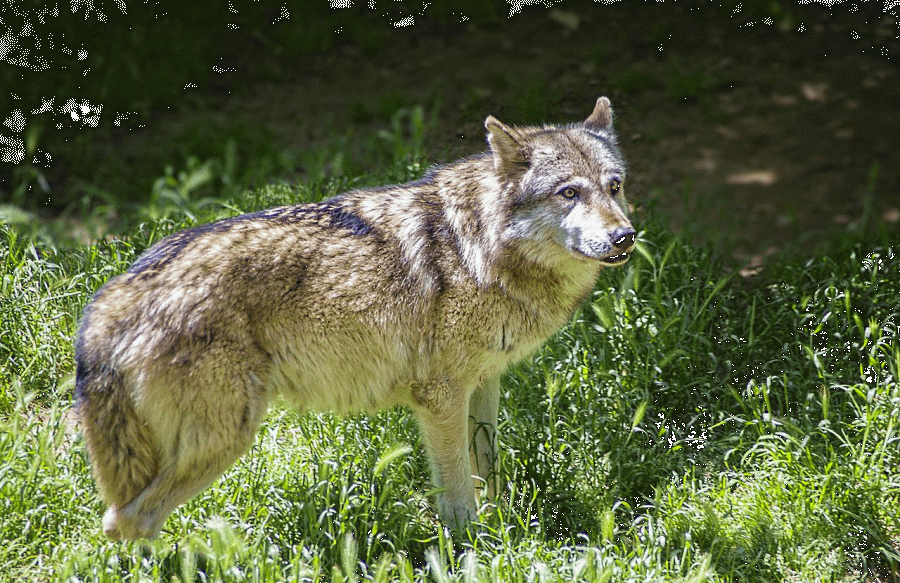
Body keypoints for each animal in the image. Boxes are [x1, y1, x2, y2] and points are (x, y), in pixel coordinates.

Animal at [77, 97, 636, 544]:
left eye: (614, 186)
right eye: (569, 193)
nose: (625, 236)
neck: (480, 247)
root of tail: (113, 295)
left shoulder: (484, 382)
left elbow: (488, 472)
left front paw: (506, 530)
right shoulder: (440, 396)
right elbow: (457, 495)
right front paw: (476, 550)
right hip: (223, 440)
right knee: (125, 521)